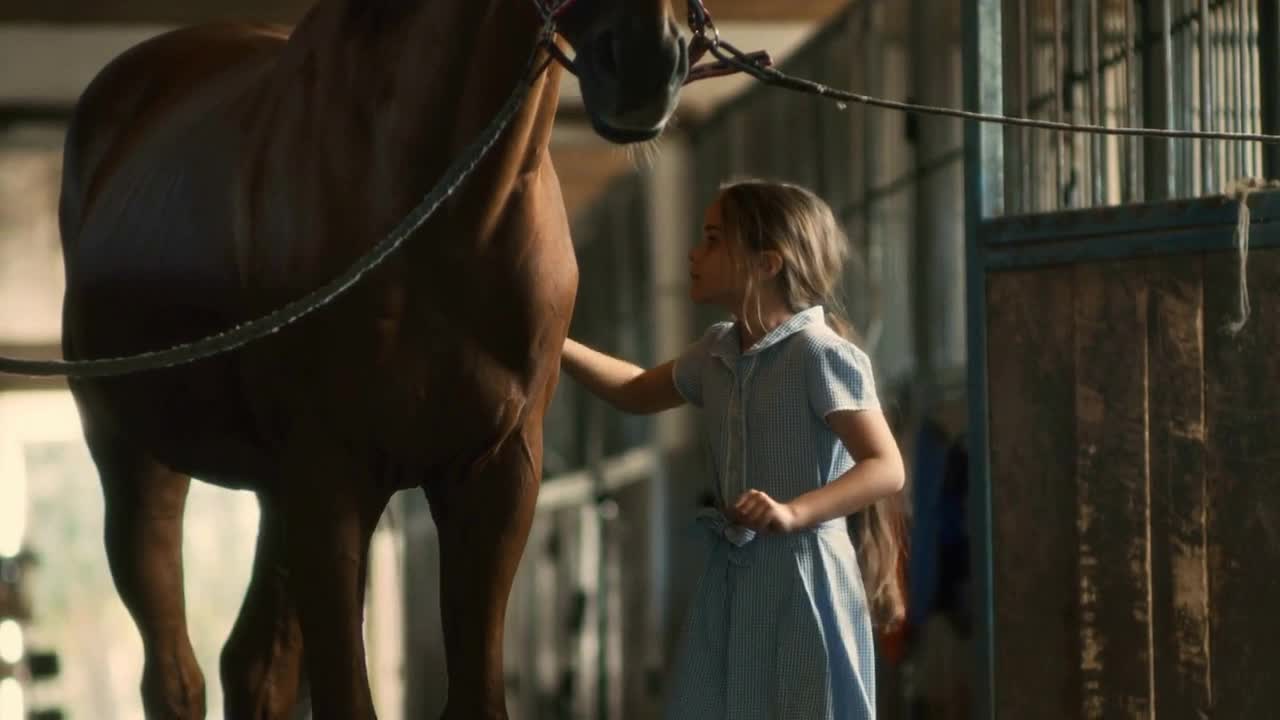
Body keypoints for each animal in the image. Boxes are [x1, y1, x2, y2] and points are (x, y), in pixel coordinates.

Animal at [57, 0, 691, 712]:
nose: (647, 63)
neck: (444, 217)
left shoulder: (498, 475)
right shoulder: (332, 476)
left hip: (276, 491)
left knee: (254, 666)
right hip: (137, 460)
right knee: (175, 675)